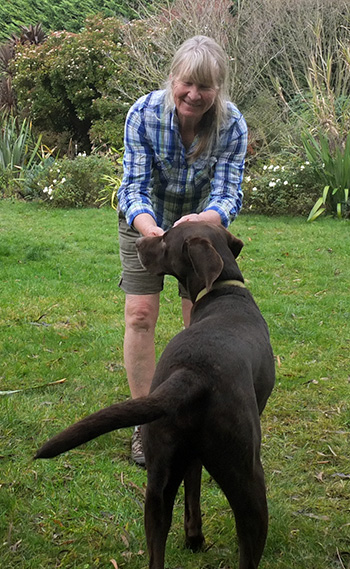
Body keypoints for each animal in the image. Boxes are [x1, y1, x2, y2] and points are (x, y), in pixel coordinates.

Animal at [36, 221, 276, 568]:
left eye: (165, 241)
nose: (138, 245)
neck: (223, 291)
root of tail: (191, 374)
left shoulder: (187, 459)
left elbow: (192, 495)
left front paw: (194, 539)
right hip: (247, 477)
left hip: (157, 481)